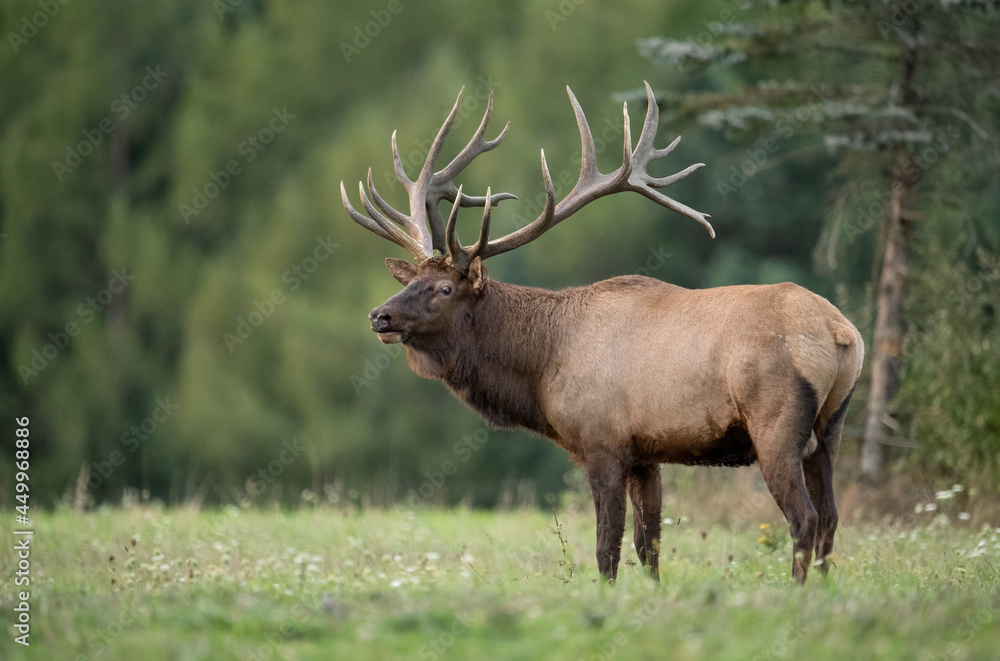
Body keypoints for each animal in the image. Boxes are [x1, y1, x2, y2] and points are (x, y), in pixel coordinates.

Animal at [340, 82, 864, 584]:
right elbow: (649, 544)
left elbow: (606, 547)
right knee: (833, 517)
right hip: (831, 428)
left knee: (805, 518)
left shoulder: (601, 442)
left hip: (775, 423)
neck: (541, 368)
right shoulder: (645, 454)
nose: (379, 317)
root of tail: (842, 332)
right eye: (409, 281)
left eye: (445, 288)